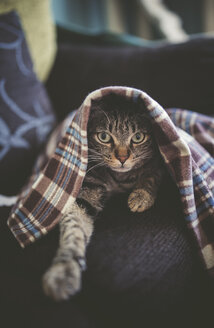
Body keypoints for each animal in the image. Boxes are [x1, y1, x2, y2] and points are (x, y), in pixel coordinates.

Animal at [42, 93, 163, 302]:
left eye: (138, 137)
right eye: (104, 137)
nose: (122, 158)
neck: (119, 180)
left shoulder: (161, 165)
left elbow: (151, 175)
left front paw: (140, 197)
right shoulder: (86, 194)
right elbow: (74, 231)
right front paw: (64, 271)